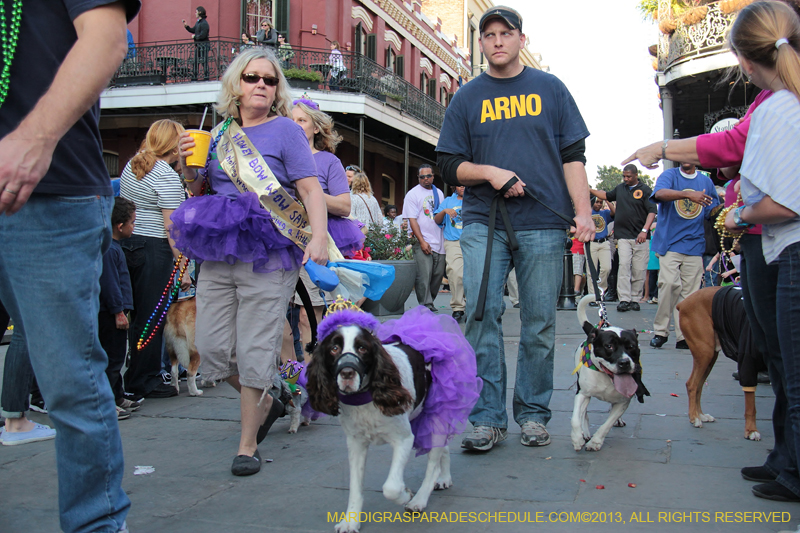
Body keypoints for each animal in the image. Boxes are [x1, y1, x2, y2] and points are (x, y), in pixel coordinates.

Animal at [306, 304, 482, 532]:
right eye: (334, 348)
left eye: (362, 348)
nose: (347, 373)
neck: (366, 398)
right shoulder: (356, 443)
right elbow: (355, 486)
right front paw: (351, 520)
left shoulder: (403, 439)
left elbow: (390, 487)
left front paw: (405, 495)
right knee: (442, 448)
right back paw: (444, 478)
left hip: (438, 412)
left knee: (433, 463)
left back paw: (420, 499)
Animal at [568, 294, 648, 450]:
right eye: (609, 346)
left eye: (632, 346)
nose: (624, 363)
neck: (606, 378)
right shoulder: (582, 393)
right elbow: (575, 418)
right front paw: (577, 438)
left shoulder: (624, 401)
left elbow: (606, 425)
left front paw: (595, 442)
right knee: (583, 413)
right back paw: (585, 432)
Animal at [680, 286, 764, 440]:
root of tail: (683, 303)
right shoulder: (747, 364)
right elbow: (751, 405)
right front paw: (751, 430)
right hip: (704, 353)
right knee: (692, 384)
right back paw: (694, 417)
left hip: (710, 357)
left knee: (699, 386)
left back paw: (701, 415)